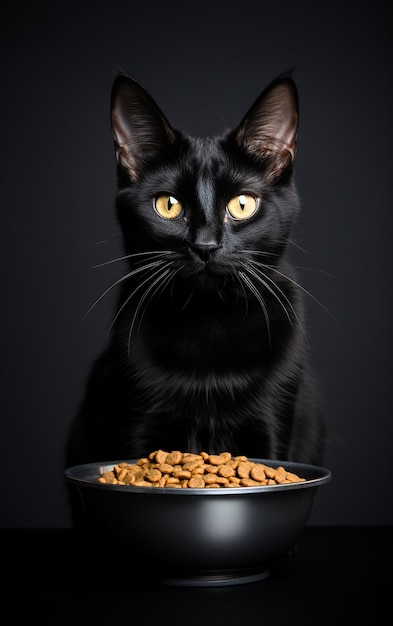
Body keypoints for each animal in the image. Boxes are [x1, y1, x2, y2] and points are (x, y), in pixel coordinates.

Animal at [66, 72, 324, 468]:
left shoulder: (272, 423)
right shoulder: (141, 421)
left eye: (242, 204)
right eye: (168, 205)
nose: (205, 245)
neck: (210, 320)